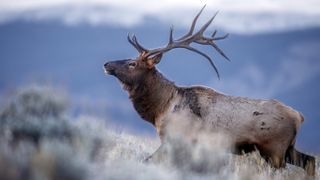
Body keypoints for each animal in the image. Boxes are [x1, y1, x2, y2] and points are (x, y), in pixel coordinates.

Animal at [104, 6, 316, 176]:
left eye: (132, 64)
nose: (107, 64)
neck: (160, 108)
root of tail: (299, 116)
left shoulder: (176, 139)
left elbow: (148, 160)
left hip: (274, 149)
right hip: (288, 148)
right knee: (310, 161)